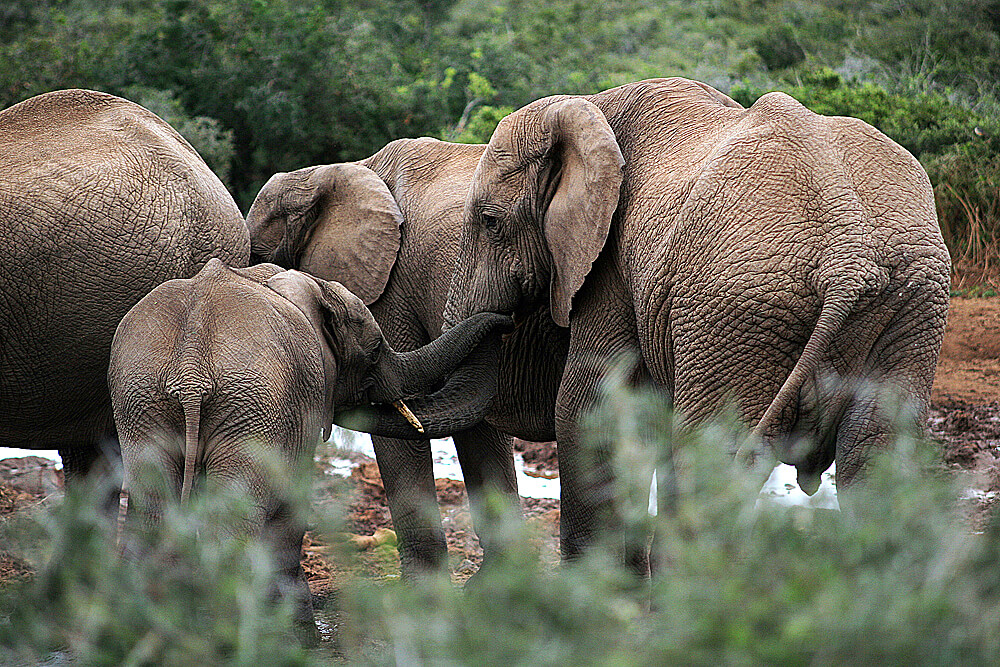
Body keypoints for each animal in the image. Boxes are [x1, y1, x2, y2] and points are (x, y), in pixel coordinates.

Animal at [108, 258, 512, 640]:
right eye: (375, 351)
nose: (507, 320)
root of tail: (190, 369)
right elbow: (291, 503)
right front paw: (304, 639)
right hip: (244, 405)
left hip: (143, 401)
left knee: (154, 514)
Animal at [444, 77, 952, 568]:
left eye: (490, 221)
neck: (586, 106)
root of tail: (850, 259)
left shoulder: (611, 266)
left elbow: (586, 409)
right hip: (911, 307)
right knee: (873, 459)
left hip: (741, 308)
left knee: (710, 454)